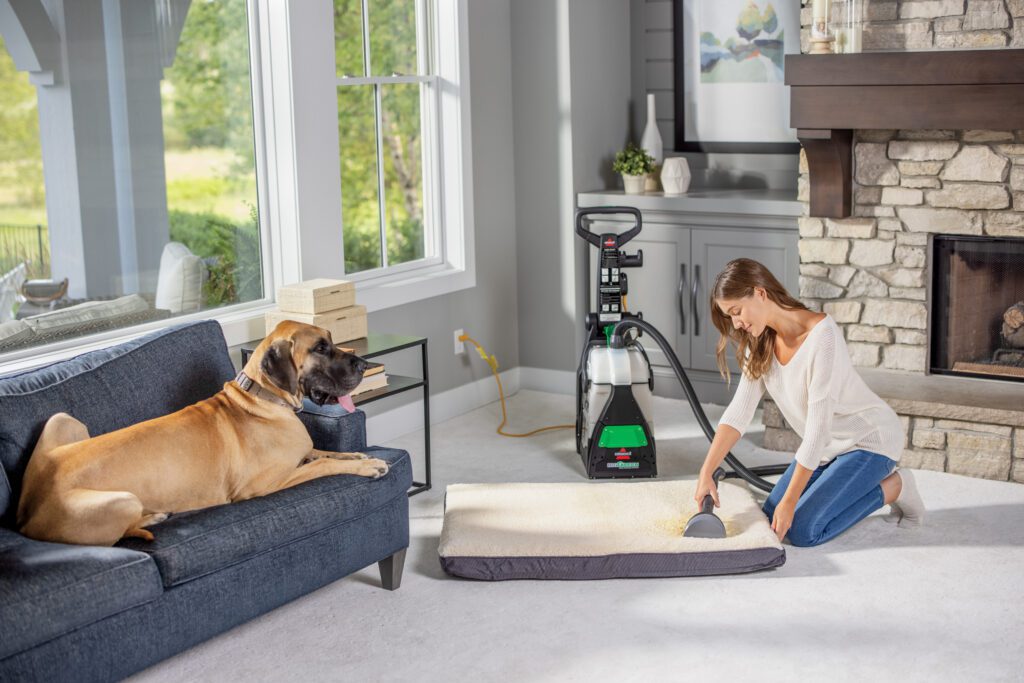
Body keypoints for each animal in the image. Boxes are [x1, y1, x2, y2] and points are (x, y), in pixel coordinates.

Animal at [16, 321, 391, 544]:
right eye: (320, 348)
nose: (363, 364)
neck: (262, 397)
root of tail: (26, 514)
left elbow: (323, 452)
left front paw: (355, 453)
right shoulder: (264, 484)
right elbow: (323, 464)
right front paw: (367, 465)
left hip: (63, 419)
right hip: (121, 500)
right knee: (121, 534)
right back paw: (154, 517)